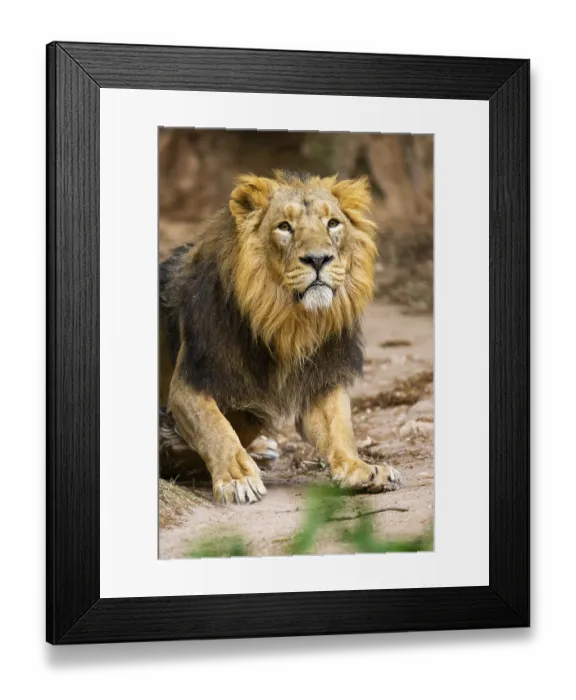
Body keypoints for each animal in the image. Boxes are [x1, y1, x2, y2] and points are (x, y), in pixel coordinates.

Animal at [159, 170, 402, 504]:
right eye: (284, 227)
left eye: (333, 223)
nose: (318, 259)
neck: (287, 320)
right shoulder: (192, 379)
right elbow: (215, 427)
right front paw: (237, 478)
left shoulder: (319, 379)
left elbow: (340, 426)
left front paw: (361, 469)